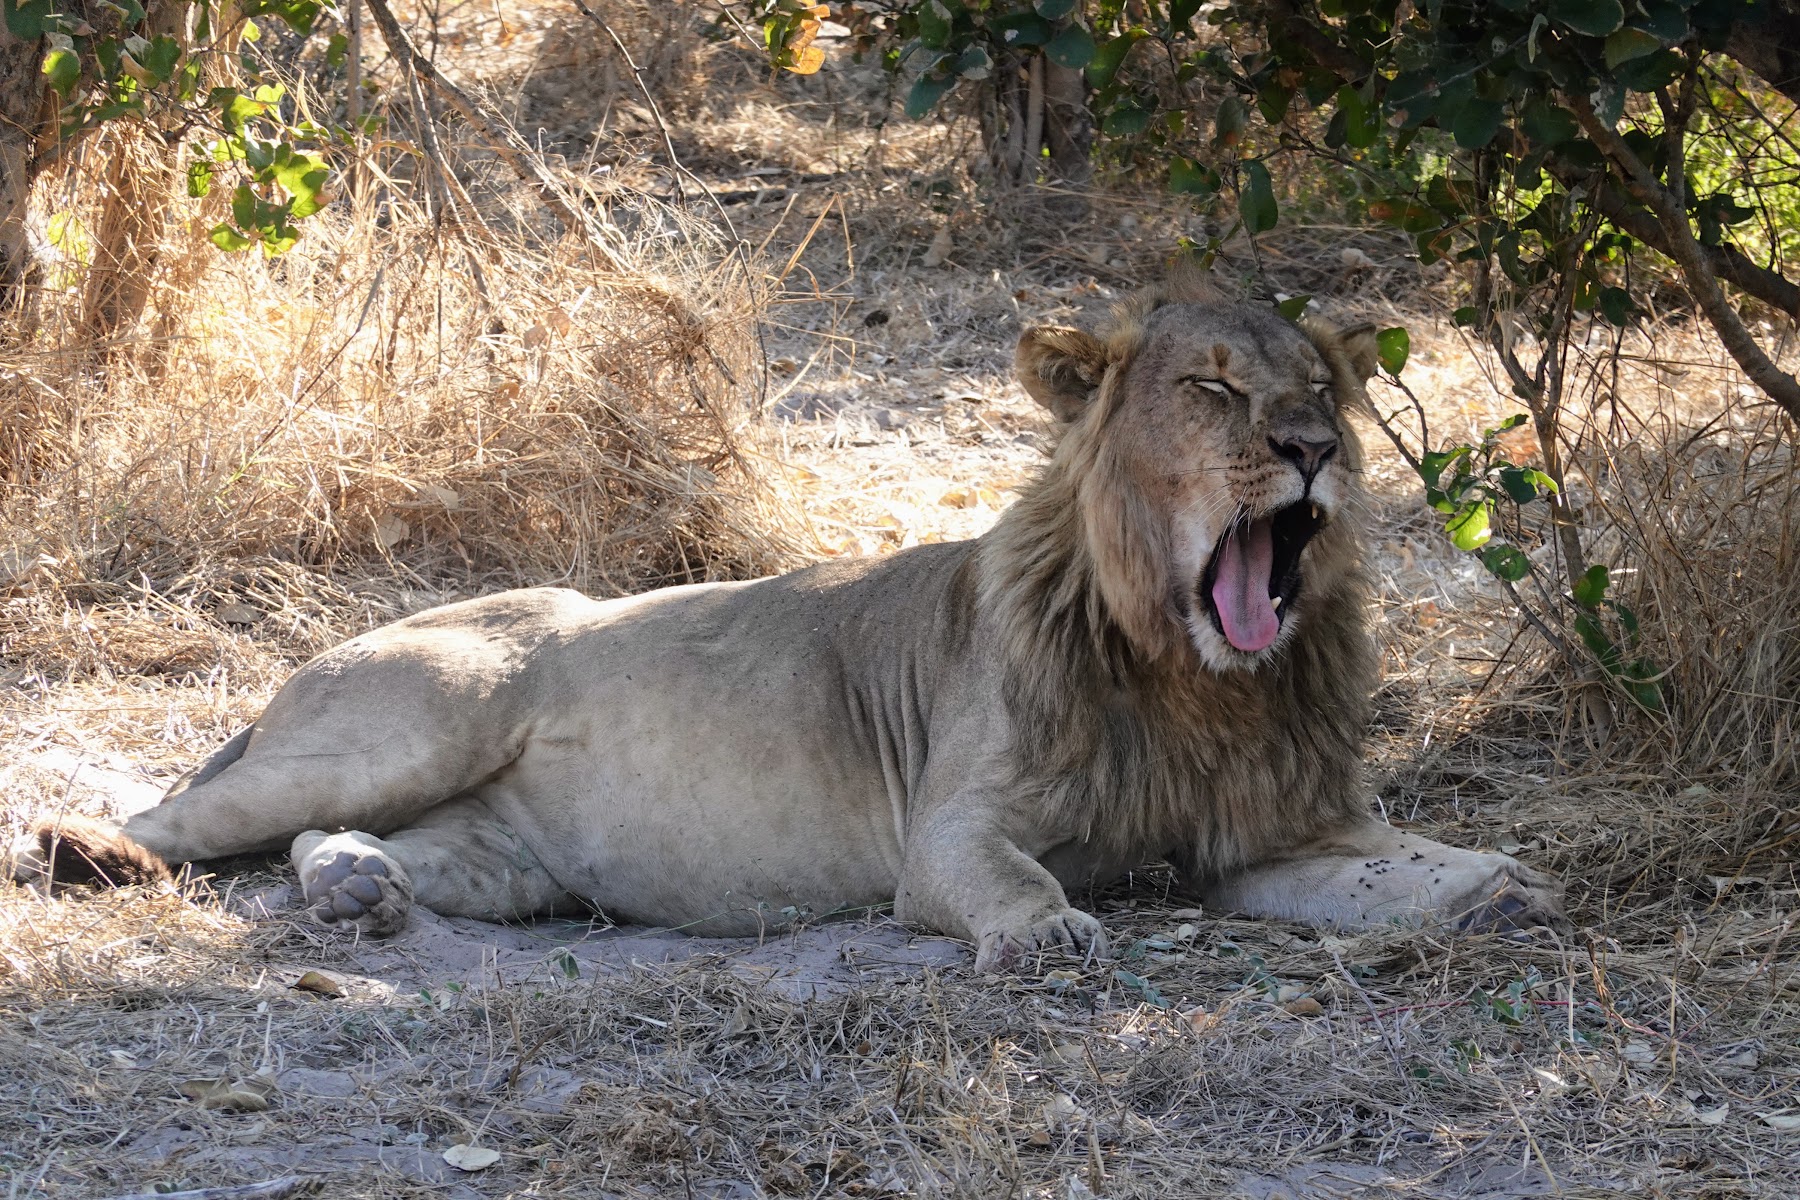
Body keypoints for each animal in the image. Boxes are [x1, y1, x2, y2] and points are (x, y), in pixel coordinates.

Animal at [11, 280, 1566, 970]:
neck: (1196, 677)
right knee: (194, 814)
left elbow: (1418, 867)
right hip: (416, 719)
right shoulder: (950, 834)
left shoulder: (1276, 837)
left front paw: (1506, 887)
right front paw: (1049, 940)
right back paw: (93, 852)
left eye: (1322, 389)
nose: (1310, 449)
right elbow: (1016, 884)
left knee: (351, 850)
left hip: (508, 863)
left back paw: (359, 894)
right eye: (1217, 390)